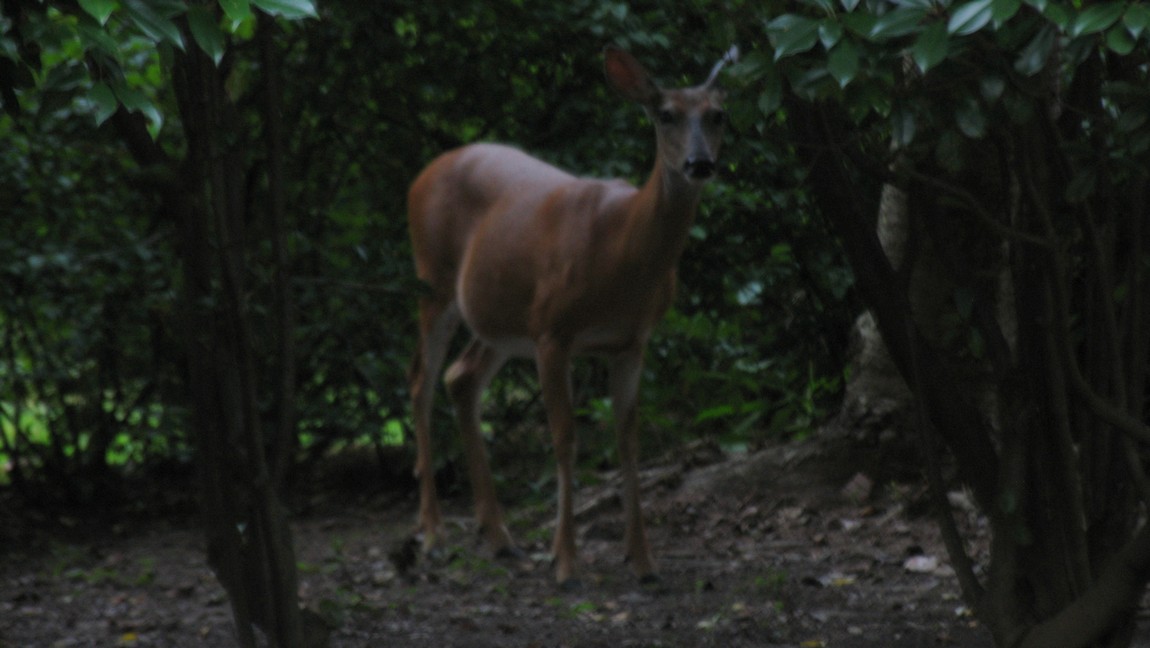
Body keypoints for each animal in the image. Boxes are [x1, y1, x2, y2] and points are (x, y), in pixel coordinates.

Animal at [406, 45, 736, 587]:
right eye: (665, 114)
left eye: (718, 114)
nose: (700, 163)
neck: (621, 253)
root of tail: (423, 173)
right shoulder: (552, 332)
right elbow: (565, 439)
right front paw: (565, 562)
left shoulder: (631, 342)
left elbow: (628, 441)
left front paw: (643, 561)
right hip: (434, 281)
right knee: (422, 379)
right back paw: (433, 533)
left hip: (501, 318)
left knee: (461, 377)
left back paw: (499, 536)